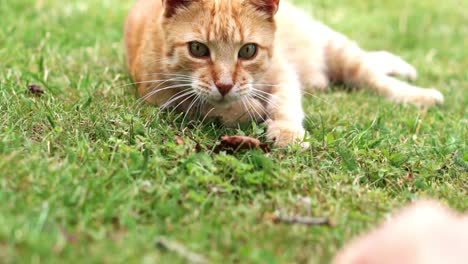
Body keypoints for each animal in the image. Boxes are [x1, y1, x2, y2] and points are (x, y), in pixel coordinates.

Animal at [123, 0, 442, 147]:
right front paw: (246, 108)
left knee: (371, 74)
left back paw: (420, 93)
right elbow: (204, 105)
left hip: (339, 51)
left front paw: (287, 131)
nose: (224, 84)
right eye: (198, 49)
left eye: (248, 51)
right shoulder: (159, 94)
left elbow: (285, 101)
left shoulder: (283, 72)